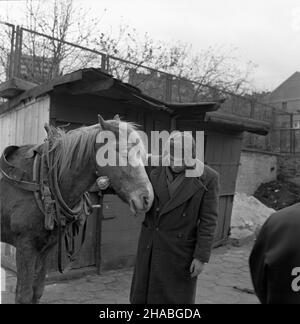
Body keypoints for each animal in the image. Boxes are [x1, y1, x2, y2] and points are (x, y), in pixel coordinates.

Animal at [0, 114, 154, 304]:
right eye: (121, 151)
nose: (147, 198)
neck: (43, 181)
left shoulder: (45, 248)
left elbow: (37, 291)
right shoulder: (25, 246)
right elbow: (24, 295)